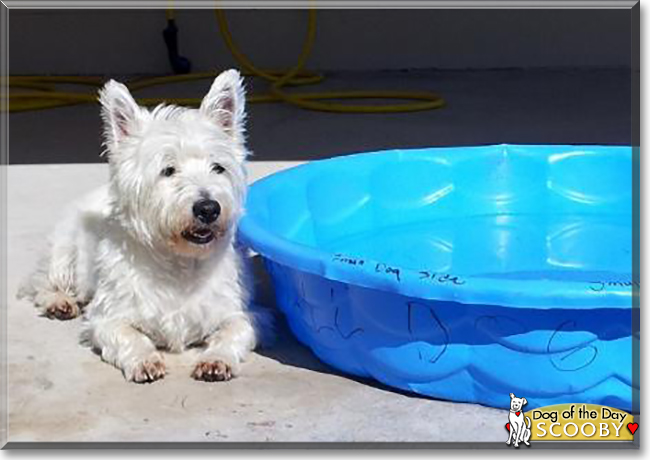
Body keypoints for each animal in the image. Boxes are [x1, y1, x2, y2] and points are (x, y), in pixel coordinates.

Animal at [19, 69, 268, 384]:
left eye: (218, 168)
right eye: (168, 170)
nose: (209, 208)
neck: (181, 264)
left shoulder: (244, 313)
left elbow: (233, 331)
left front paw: (216, 360)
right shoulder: (107, 317)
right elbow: (129, 335)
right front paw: (145, 360)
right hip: (65, 250)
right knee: (43, 282)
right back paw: (59, 302)